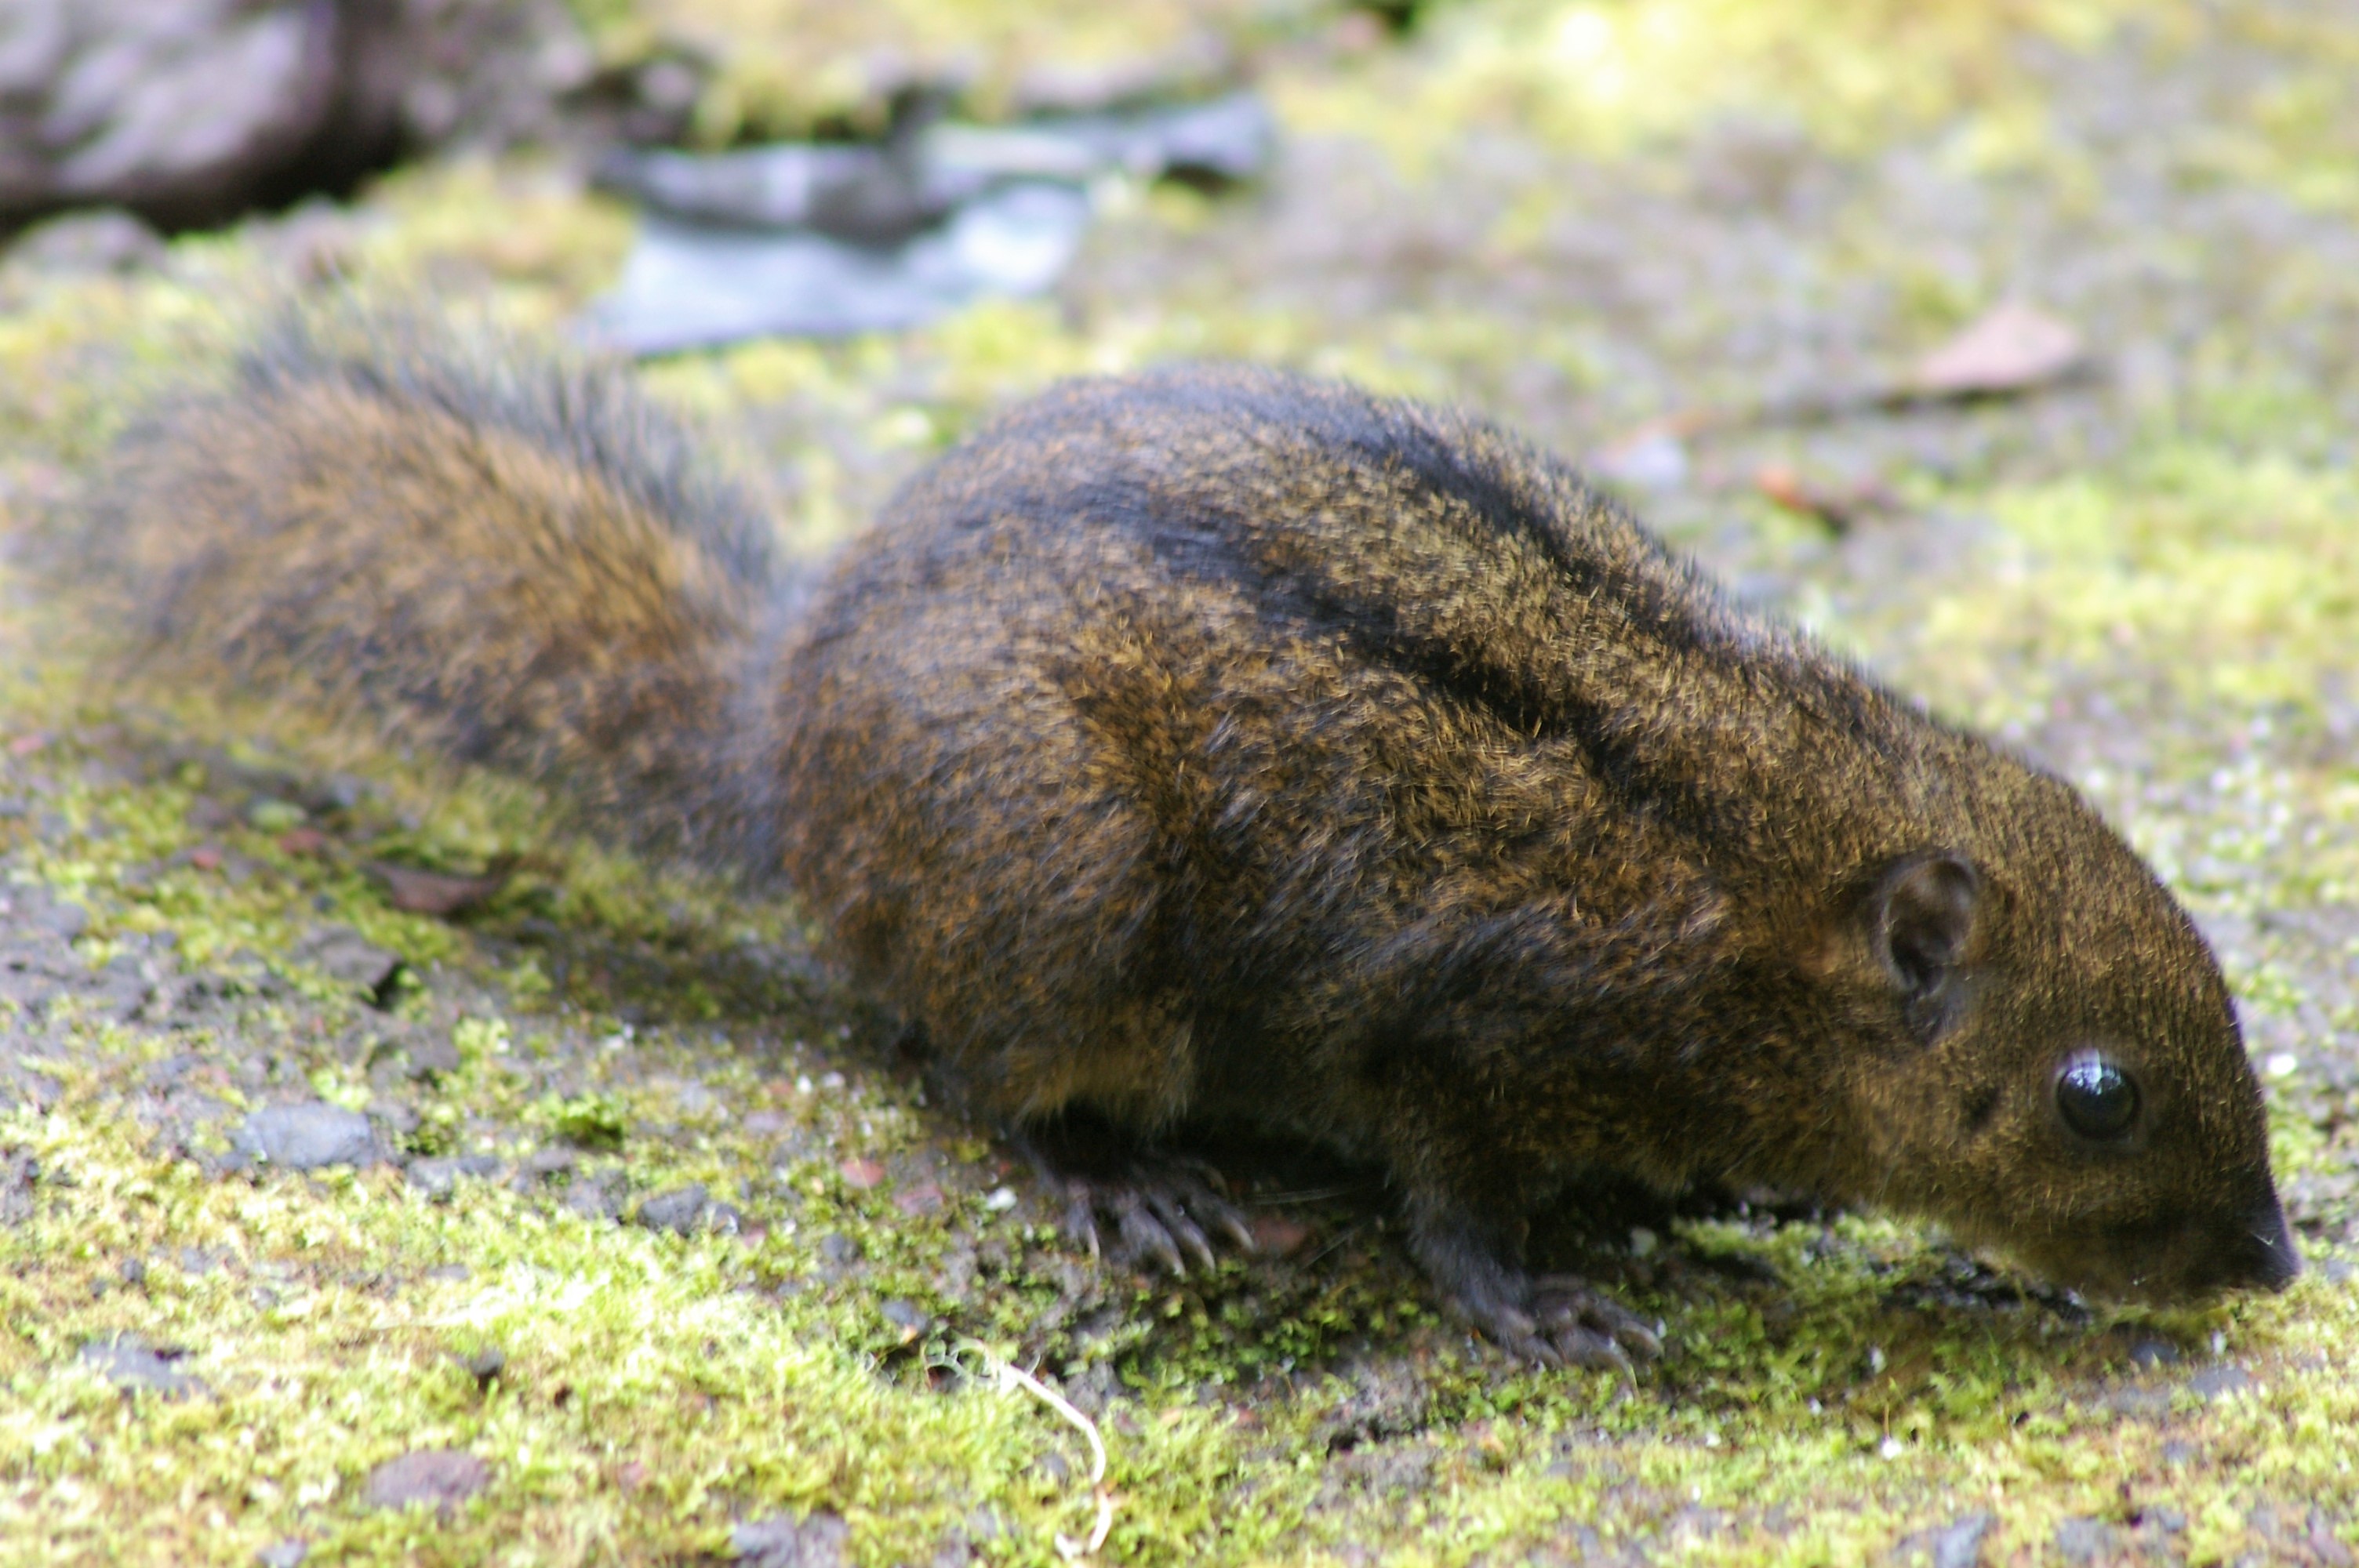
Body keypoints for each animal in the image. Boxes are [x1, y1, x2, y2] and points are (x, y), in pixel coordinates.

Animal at [91, 314, 2299, 1367]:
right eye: (2094, 1091)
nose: (2275, 1262)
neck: (1764, 863)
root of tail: (775, 735)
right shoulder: (1462, 1006)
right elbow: (1451, 1198)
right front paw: (1539, 1299)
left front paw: (1713, 1197)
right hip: (1068, 892)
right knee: (980, 1071)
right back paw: (1129, 1185)